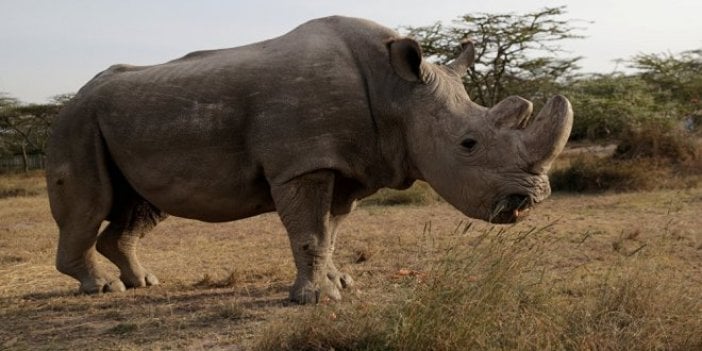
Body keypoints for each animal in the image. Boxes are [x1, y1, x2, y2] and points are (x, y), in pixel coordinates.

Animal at [45, 15, 572, 306]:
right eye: (468, 144)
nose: (530, 200)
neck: (398, 93)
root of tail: (72, 97)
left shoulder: (347, 165)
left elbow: (330, 233)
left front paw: (341, 283)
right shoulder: (302, 163)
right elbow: (310, 234)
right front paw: (315, 300)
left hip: (123, 123)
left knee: (140, 207)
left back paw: (142, 283)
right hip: (76, 124)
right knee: (91, 203)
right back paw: (103, 289)